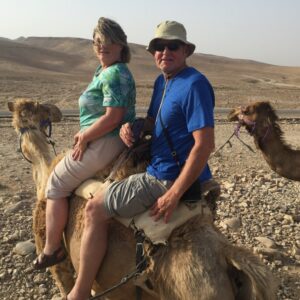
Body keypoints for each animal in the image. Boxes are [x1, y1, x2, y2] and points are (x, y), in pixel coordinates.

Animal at [8, 99, 276, 300]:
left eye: (28, 111)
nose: (57, 111)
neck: (45, 170)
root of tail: (226, 254)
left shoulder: (59, 262)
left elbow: (60, 274)